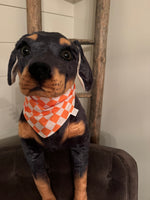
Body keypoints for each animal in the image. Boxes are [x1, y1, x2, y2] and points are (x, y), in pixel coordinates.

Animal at [7, 32, 92, 199]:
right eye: (25, 50)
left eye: (67, 55)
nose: (39, 69)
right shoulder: (30, 149)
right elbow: (41, 181)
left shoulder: (80, 144)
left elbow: (81, 179)